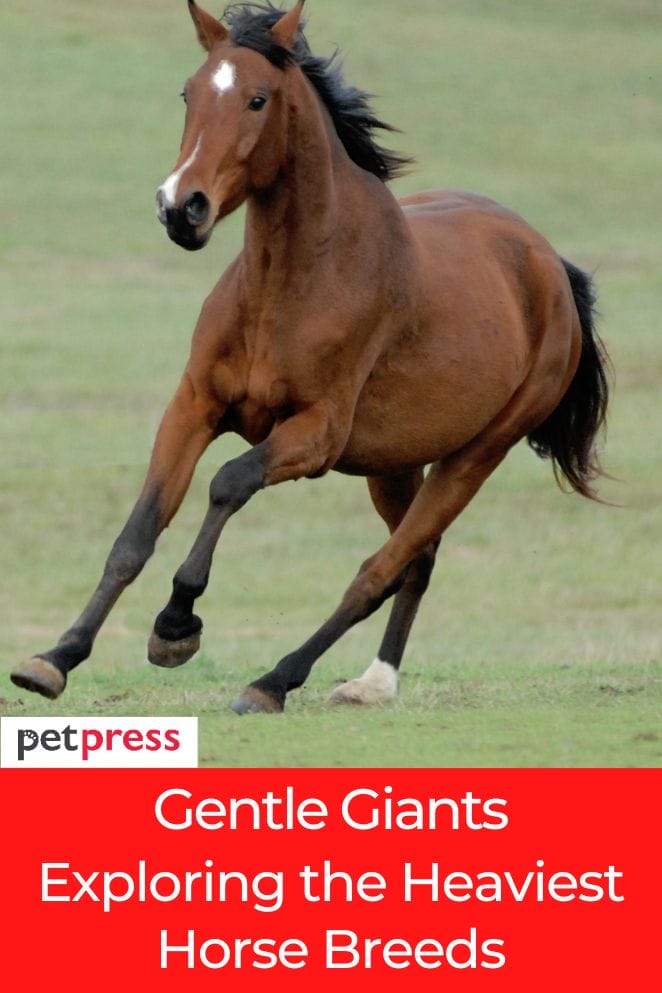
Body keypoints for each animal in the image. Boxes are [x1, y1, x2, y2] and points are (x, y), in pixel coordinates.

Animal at [11, 0, 610, 714]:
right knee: (418, 560)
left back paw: (274, 681)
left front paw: (176, 625)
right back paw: (373, 682)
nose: (181, 208)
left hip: (475, 457)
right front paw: (55, 659)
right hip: (395, 464)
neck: (290, 286)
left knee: (380, 570)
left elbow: (229, 482)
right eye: (189, 93)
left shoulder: (316, 435)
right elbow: (136, 535)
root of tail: (551, 266)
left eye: (257, 99)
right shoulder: (193, 406)